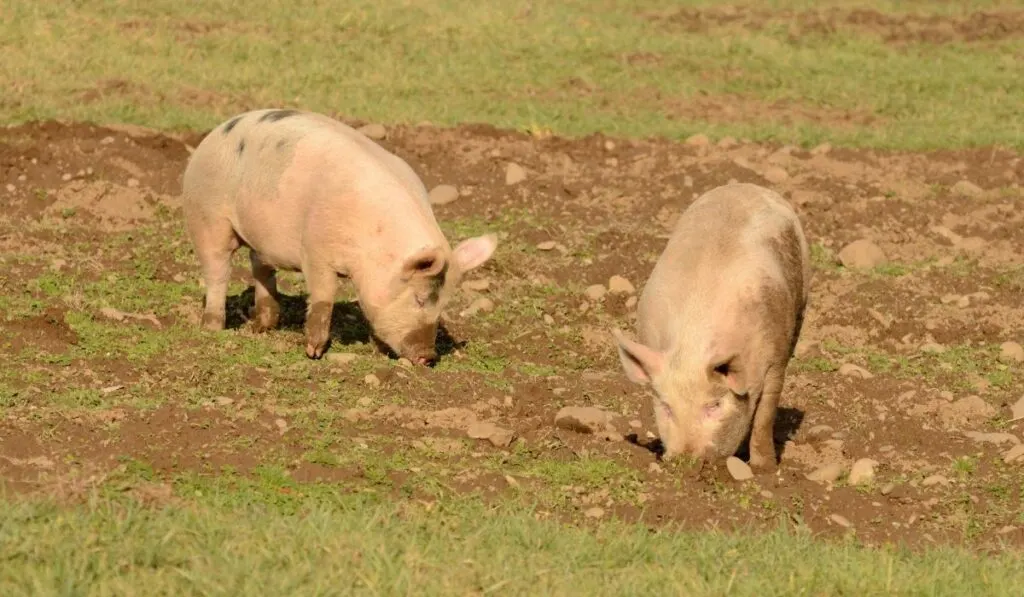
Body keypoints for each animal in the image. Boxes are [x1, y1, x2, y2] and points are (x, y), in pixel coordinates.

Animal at [182, 109, 497, 366]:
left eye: (443, 304)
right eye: (420, 299)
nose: (428, 357)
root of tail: (216, 132)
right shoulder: (314, 249)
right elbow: (324, 297)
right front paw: (313, 353)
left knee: (260, 266)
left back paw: (262, 327)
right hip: (206, 216)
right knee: (217, 272)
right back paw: (212, 328)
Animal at [610, 182, 811, 471]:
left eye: (714, 405)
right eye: (666, 407)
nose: (685, 460)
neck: (694, 341)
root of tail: (746, 186)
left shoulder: (775, 354)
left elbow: (765, 415)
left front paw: (765, 469)